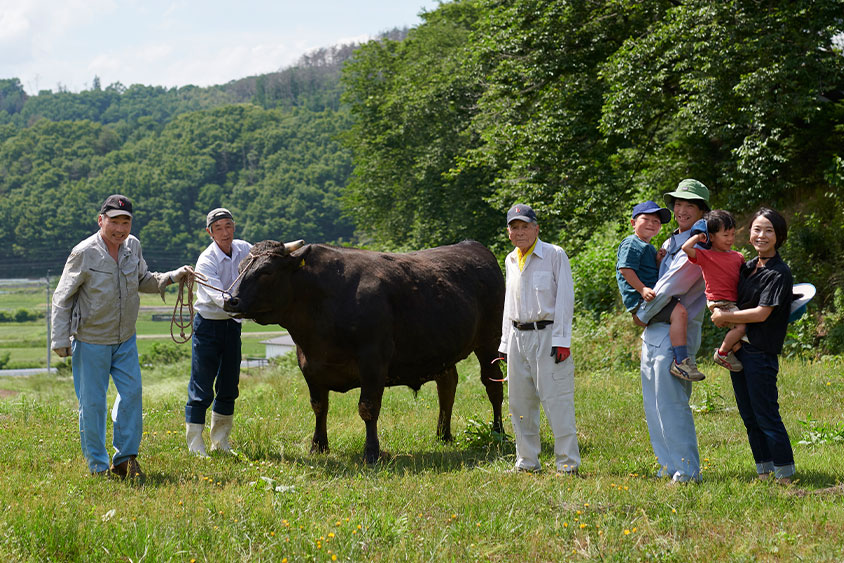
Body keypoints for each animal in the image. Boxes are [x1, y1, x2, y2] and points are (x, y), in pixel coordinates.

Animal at [221, 238, 504, 462]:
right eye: (240, 268)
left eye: (266, 271)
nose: (230, 300)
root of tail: (473, 245)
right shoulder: (309, 365)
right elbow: (319, 406)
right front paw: (318, 446)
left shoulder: (373, 361)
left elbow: (368, 408)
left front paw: (371, 452)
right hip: (441, 349)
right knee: (447, 385)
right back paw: (443, 435)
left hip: (489, 341)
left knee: (493, 385)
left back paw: (498, 432)